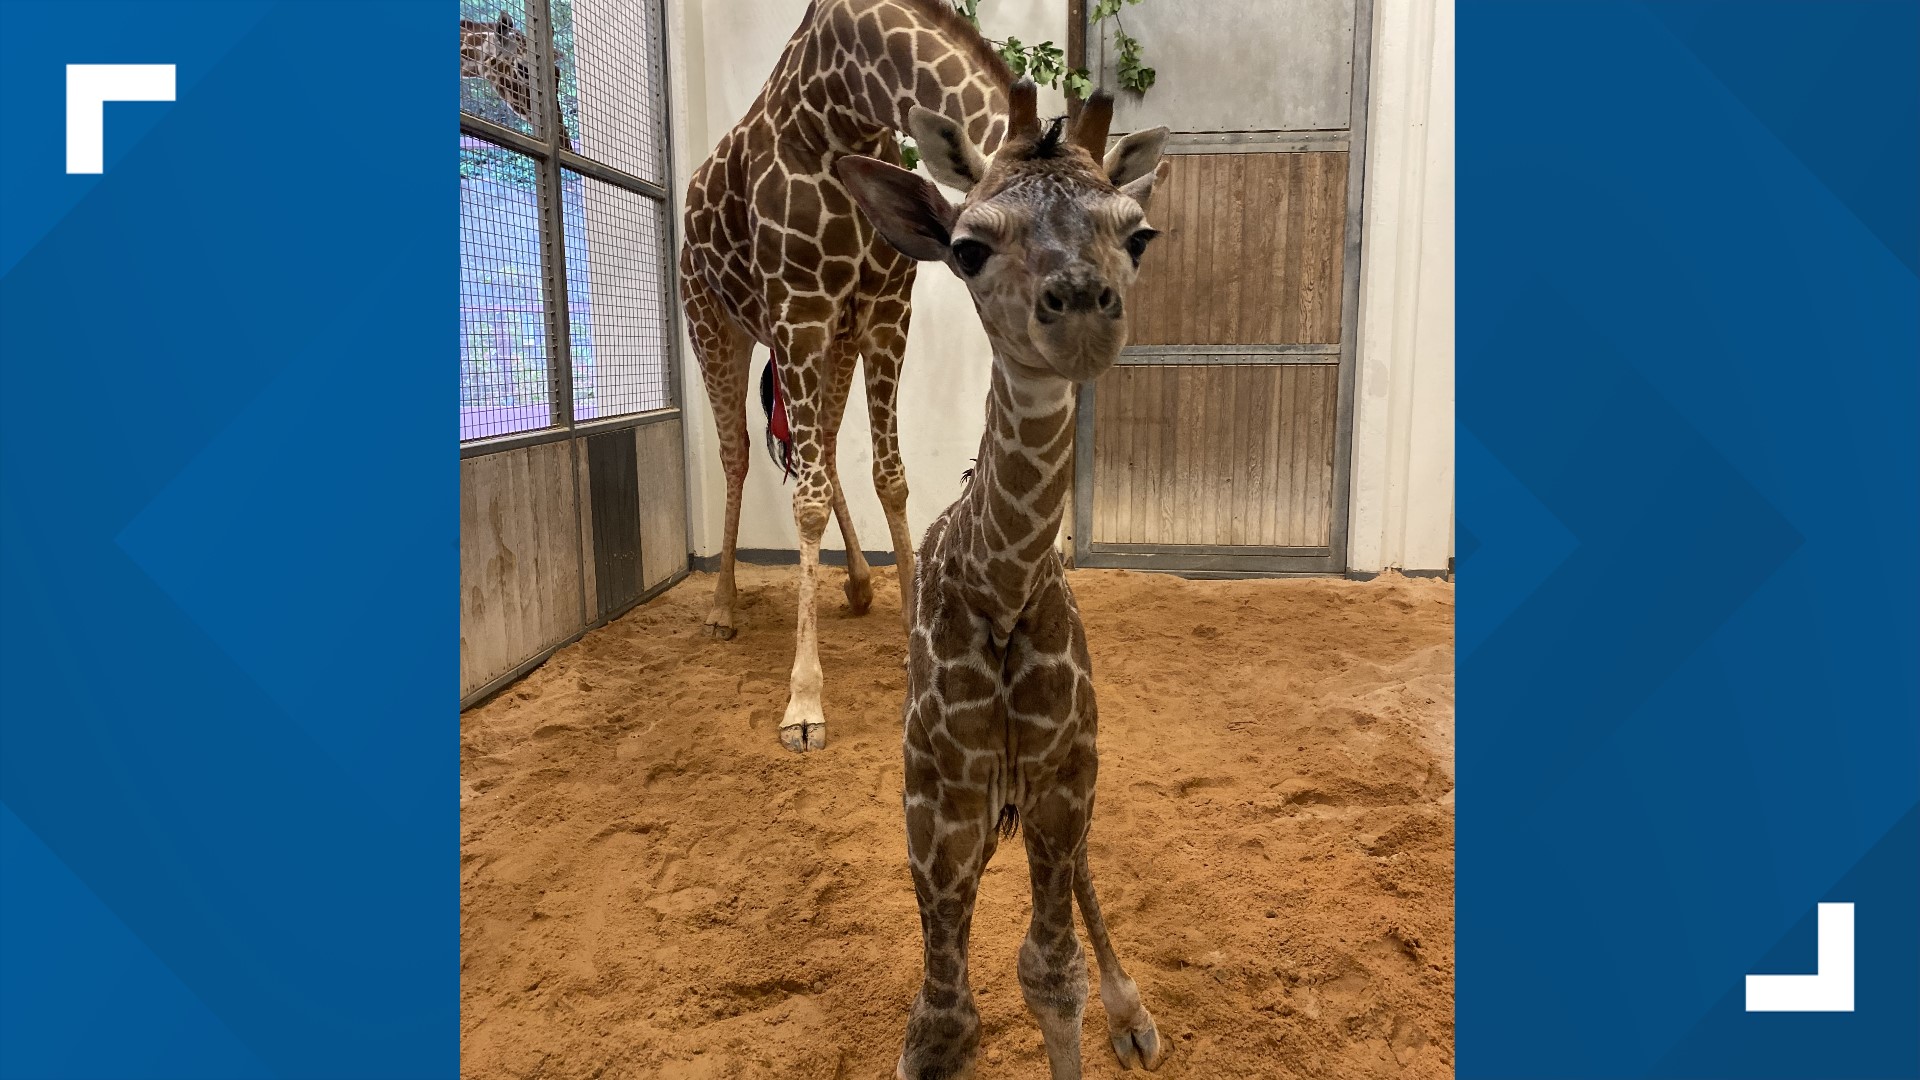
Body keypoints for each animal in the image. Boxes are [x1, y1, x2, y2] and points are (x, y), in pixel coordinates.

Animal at [679, 0, 1013, 749]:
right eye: (977, 251)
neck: (848, 106)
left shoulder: (885, 309)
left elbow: (890, 478)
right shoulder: (800, 305)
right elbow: (803, 500)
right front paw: (803, 704)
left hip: (831, 342)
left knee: (824, 451)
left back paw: (859, 584)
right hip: (715, 322)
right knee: (739, 454)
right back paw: (721, 609)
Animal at [840, 79, 1167, 1068]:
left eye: (1140, 234)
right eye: (968, 247)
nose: (1086, 307)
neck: (1001, 590)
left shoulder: (1063, 777)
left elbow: (1048, 973)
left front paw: (1113, 1012)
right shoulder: (936, 805)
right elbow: (945, 1022)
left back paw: (1133, 1015)